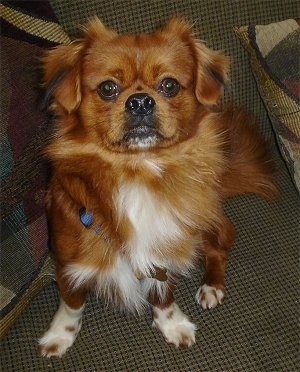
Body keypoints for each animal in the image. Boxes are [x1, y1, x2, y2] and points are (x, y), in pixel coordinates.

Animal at [38, 17, 276, 358]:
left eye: (169, 85)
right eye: (108, 88)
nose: (140, 101)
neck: (139, 170)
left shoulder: (169, 247)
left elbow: (164, 295)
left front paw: (172, 324)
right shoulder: (69, 262)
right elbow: (71, 305)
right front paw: (60, 335)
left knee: (219, 247)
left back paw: (211, 286)